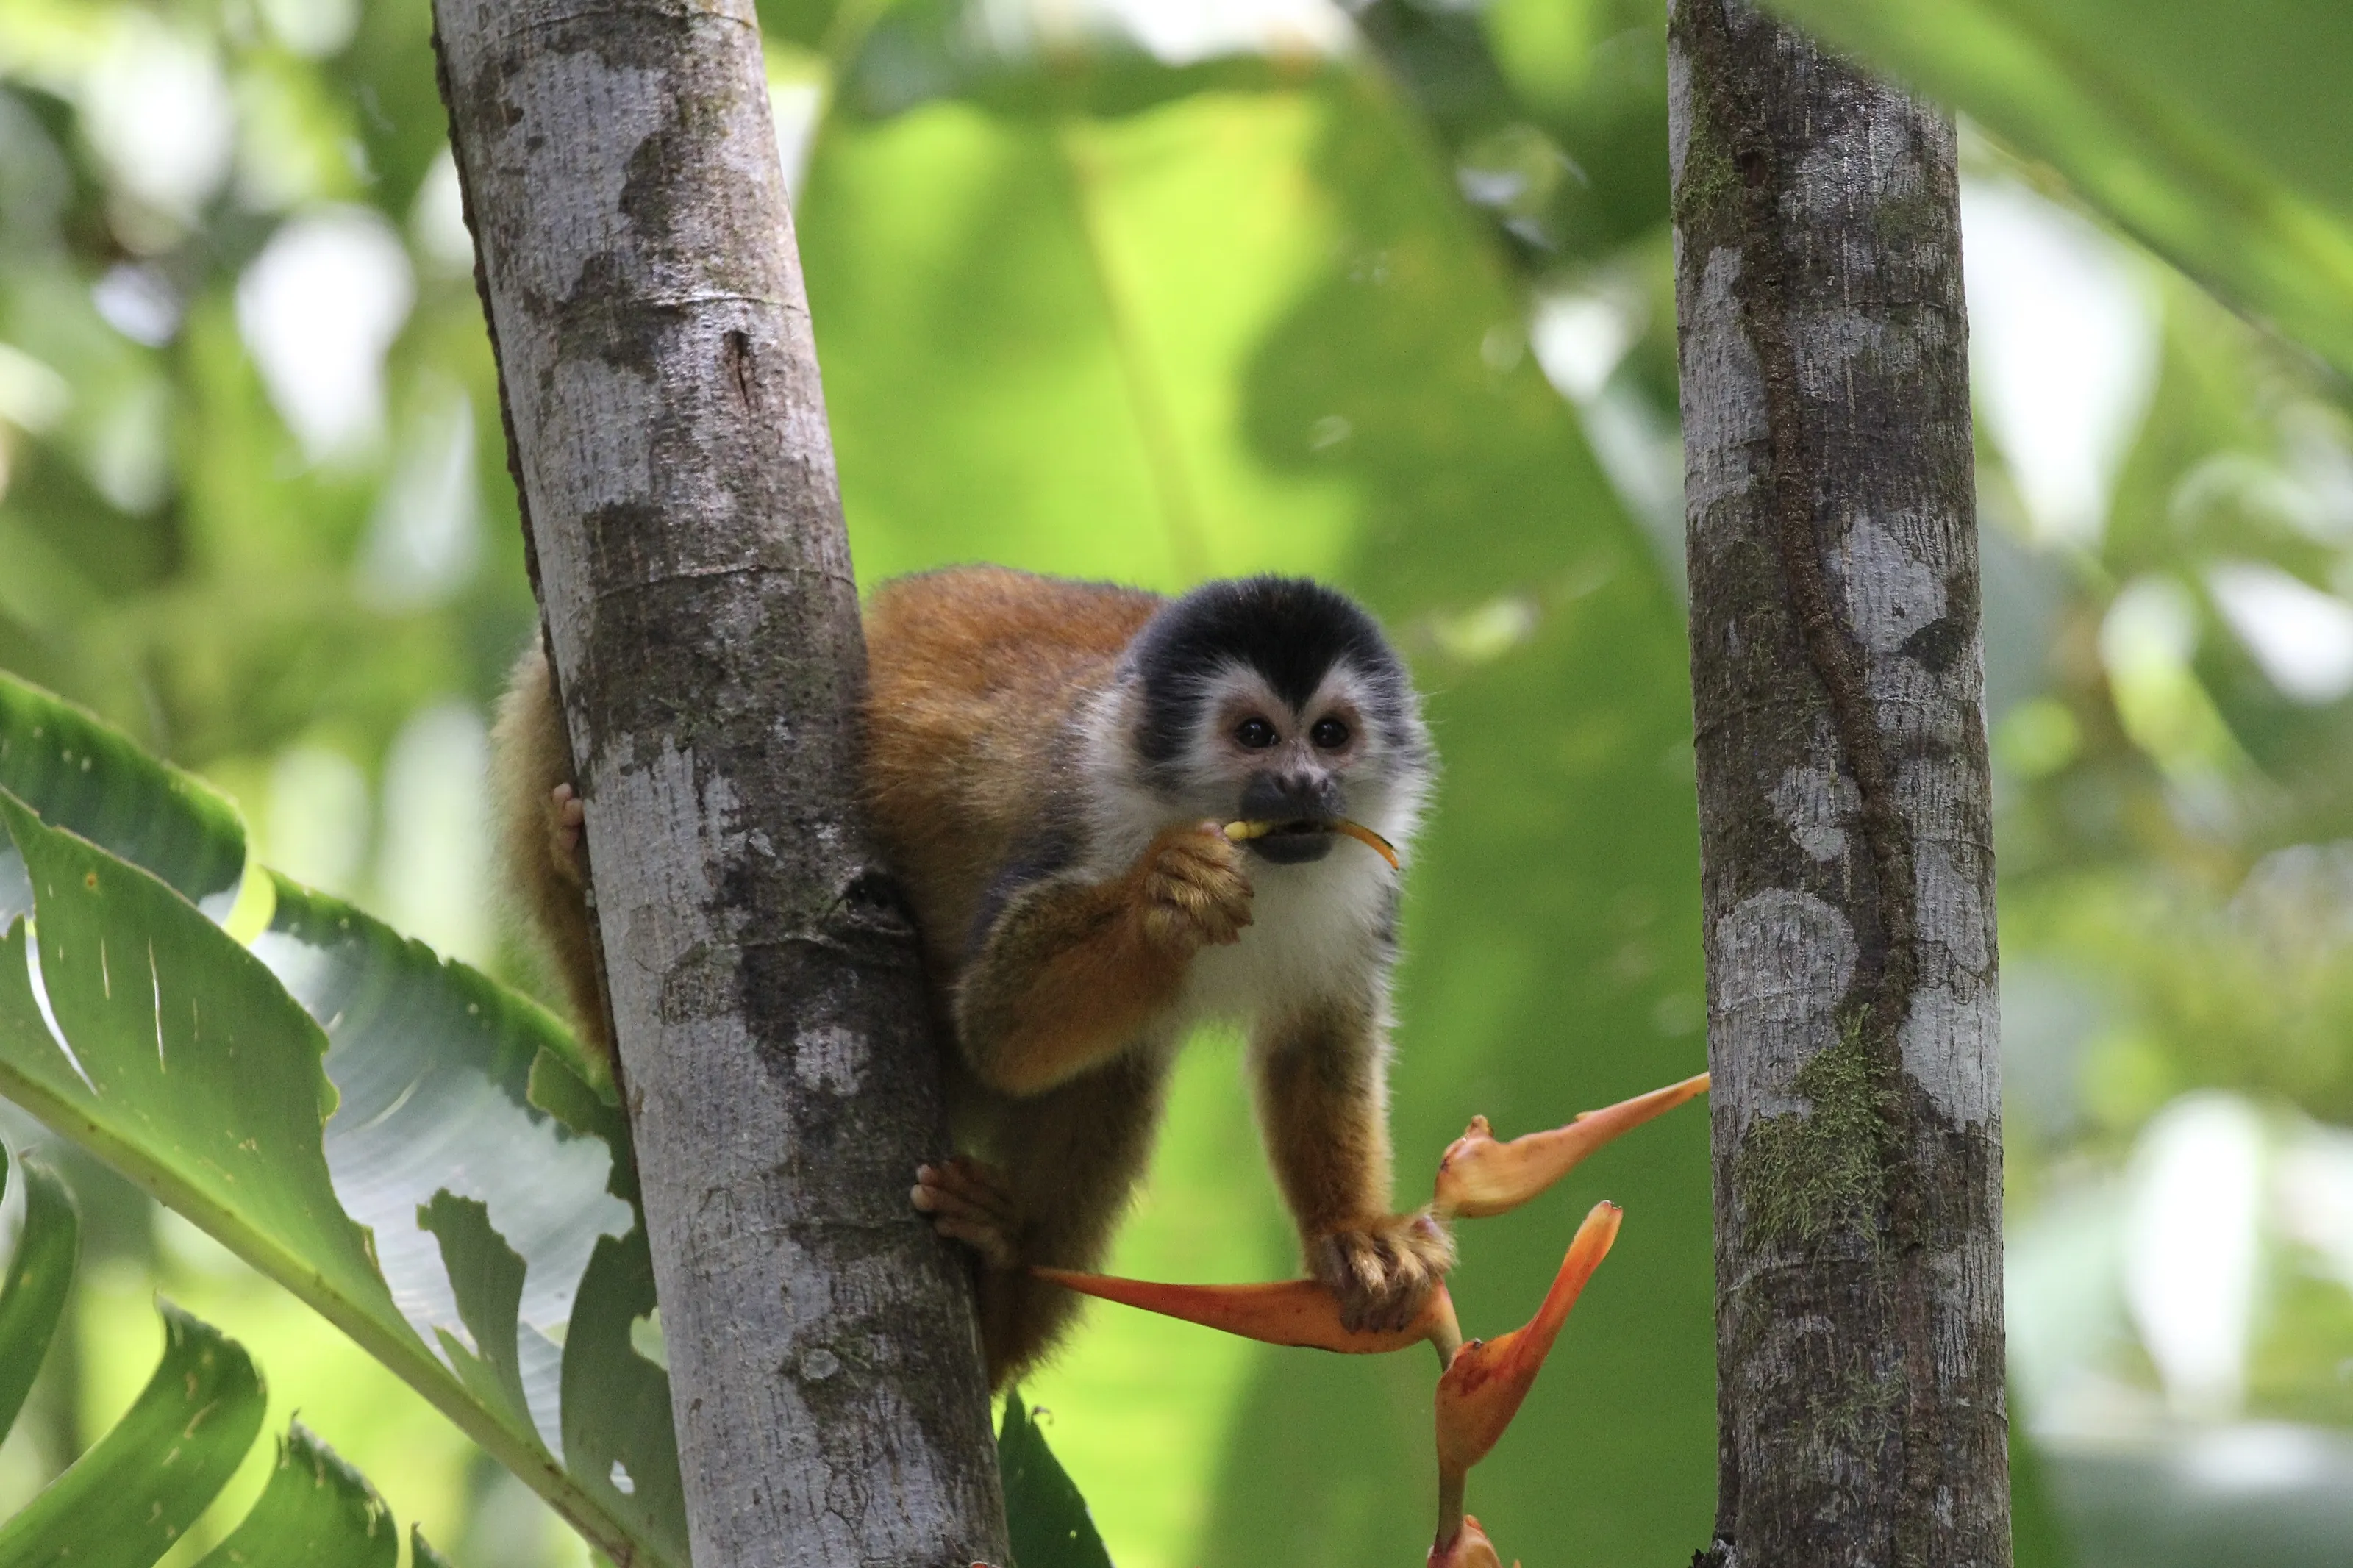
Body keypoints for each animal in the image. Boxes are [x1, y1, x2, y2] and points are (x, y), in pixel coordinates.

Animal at [493, 565, 1450, 1386]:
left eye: (1329, 734)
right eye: (1254, 734)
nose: (1304, 782)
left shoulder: (1368, 889)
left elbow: (1315, 1040)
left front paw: (1353, 1236)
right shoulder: (1078, 816)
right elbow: (1002, 1029)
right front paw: (1165, 896)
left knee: (1116, 1074)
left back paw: (999, 1285)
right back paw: (574, 856)